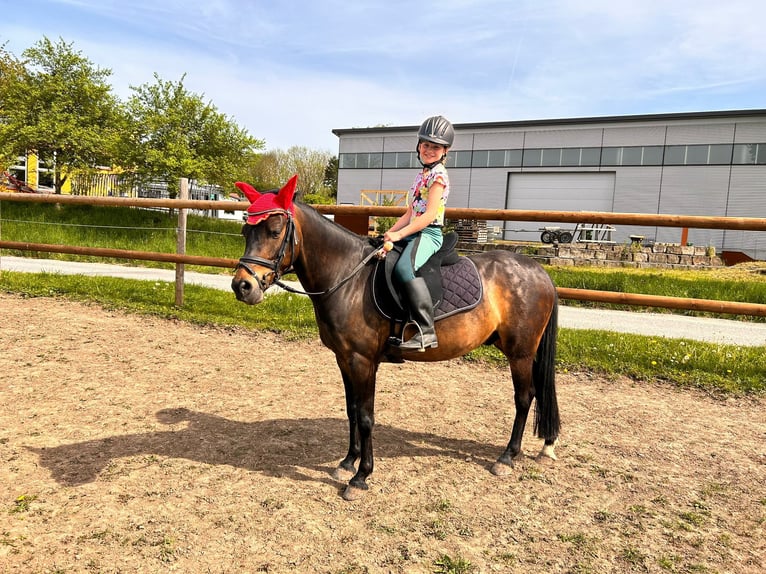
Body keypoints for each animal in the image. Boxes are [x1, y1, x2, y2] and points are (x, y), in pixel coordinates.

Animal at [230, 175, 560, 501]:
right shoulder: (344, 359)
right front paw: (347, 463)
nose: (242, 286)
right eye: (246, 230)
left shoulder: (362, 361)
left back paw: (507, 457)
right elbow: (352, 411)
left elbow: (366, 417)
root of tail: (538, 270)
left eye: (274, 231)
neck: (348, 277)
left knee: (524, 398)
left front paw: (361, 477)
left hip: (520, 352)